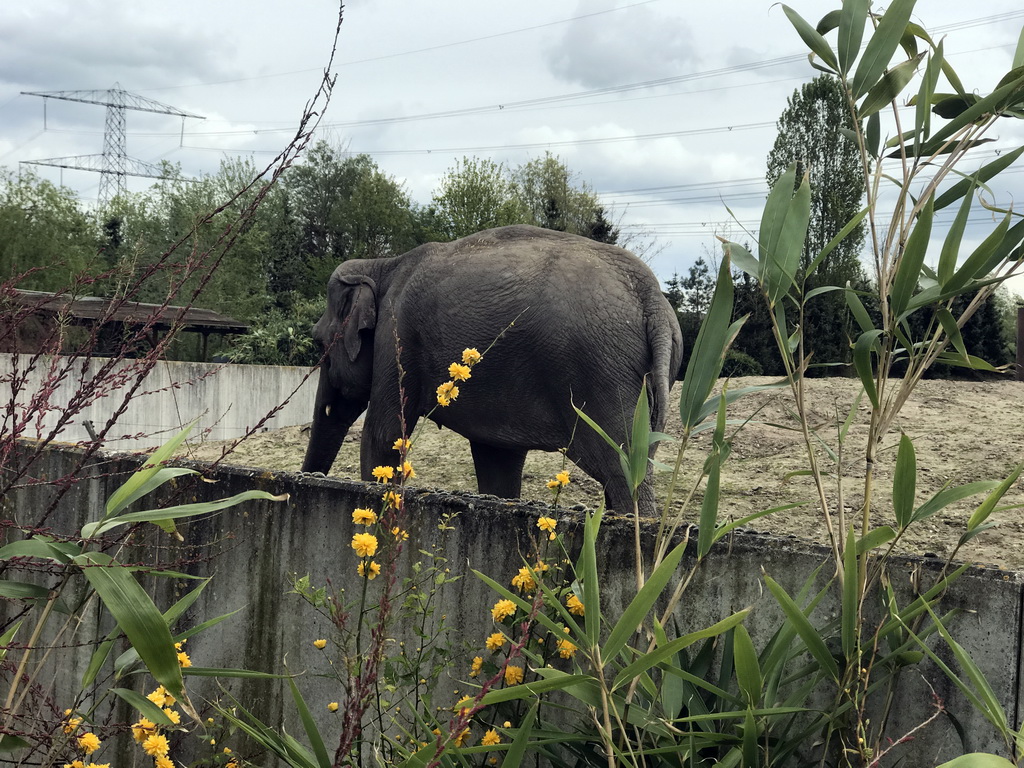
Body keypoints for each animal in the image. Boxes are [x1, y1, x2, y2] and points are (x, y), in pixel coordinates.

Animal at [299, 222, 684, 514]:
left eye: (318, 343)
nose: (306, 482)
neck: (384, 264)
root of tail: (651, 297)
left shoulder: (397, 339)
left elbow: (384, 436)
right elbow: (497, 460)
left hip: (602, 371)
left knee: (623, 472)